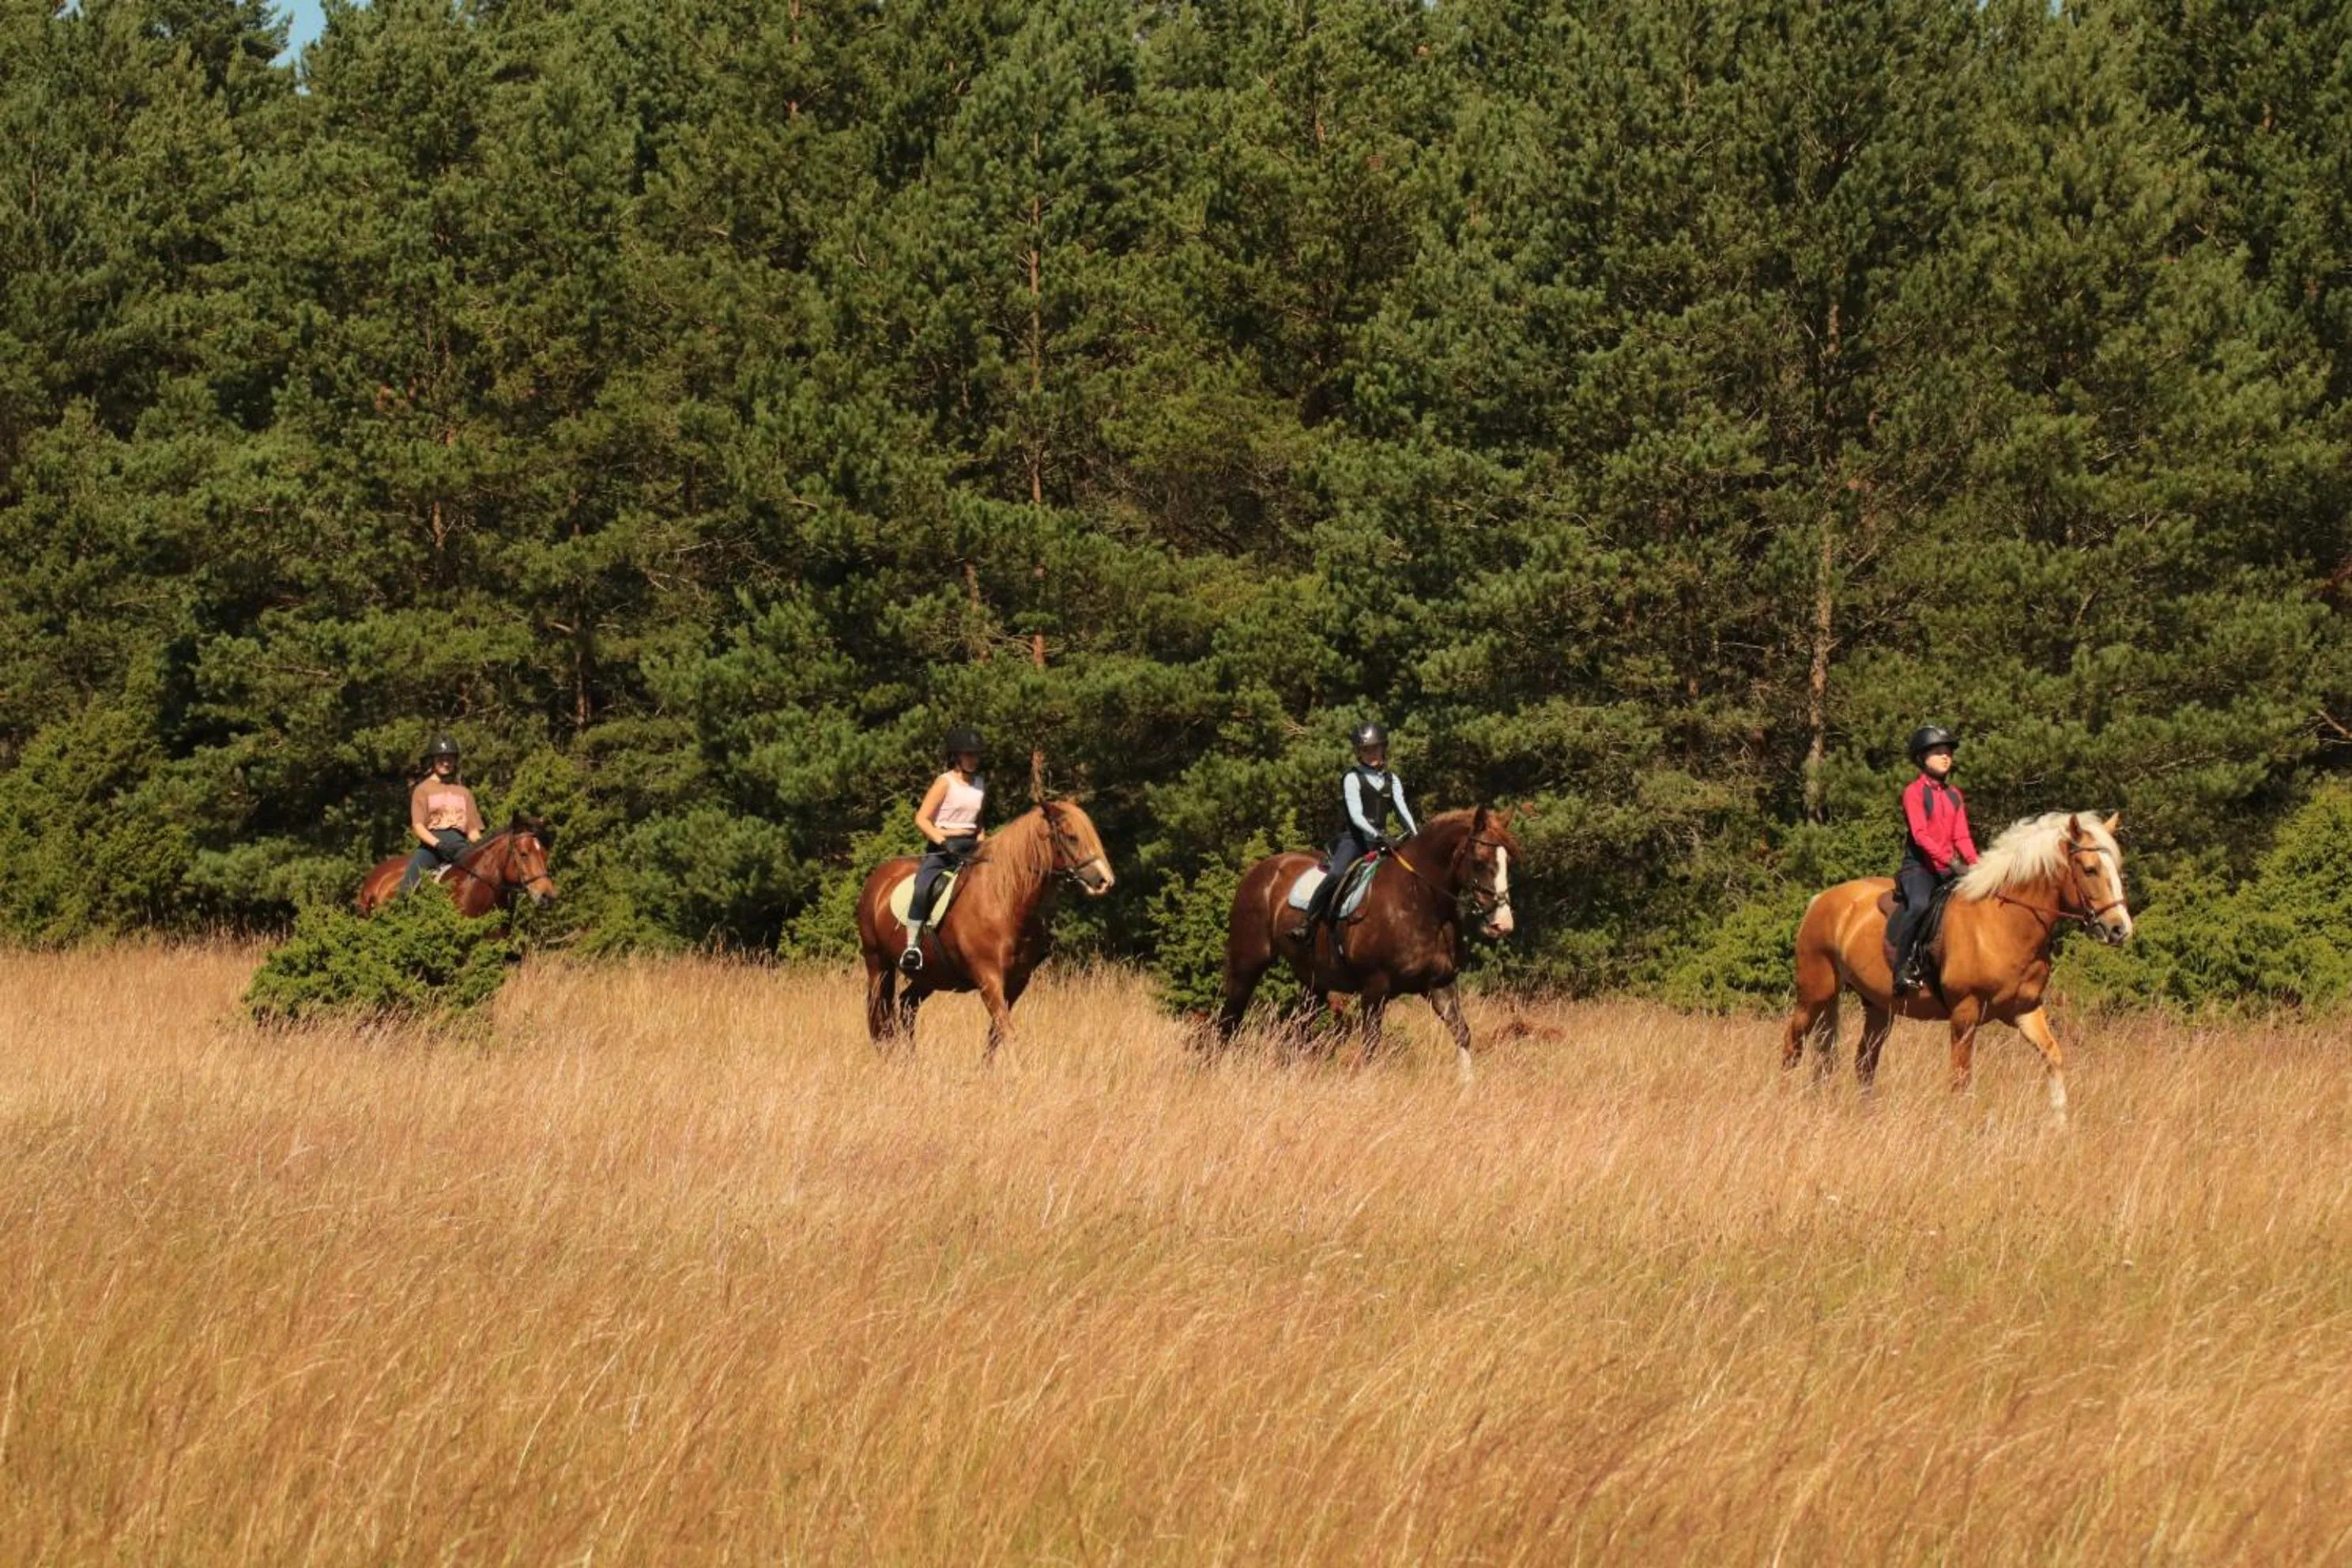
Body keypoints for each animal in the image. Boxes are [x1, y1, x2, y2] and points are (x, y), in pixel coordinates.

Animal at [855, 800, 1115, 1058]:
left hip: (930, 974)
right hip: (878, 964)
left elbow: (996, 1035)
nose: (1105, 881)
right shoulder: (988, 978)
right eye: (1072, 837)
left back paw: (912, 1060)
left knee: (908, 1004)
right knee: (880, 1014)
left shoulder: (1017, 982)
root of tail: (878, 879)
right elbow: (1007, 1033)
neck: (1004, 901)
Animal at [1215, 807, 1520, 1082]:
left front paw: (1468, 1087)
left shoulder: (1440, 984)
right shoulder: (1375, 988)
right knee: (1229, 1020)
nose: (1502, 925)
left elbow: (1462, 1033)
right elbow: (1372, 1044)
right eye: (1479, 862)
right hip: (1247, 966)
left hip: (1314, 982)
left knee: (1299, 1030)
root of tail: (1258, 871)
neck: (1418, 901)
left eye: (1508, 863)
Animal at [1781, 811, 2132, 1123]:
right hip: (1815, 995)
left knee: (1864, 1061)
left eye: (2117, 871)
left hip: (1880, 1008)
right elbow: (1961, 1079)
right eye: (2090, 870)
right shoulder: (1965, 1013)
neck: (2004, 922)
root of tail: (1821, 900)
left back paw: (1869, 1117)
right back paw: (1785, 1102)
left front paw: (2060, 1123)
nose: (2120, 929)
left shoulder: (2025, 1009)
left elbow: (2053, 1055)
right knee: (1793, 1045)